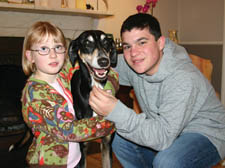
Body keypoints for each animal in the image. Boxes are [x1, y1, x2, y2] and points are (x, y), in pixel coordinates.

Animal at [68, 30, 118, 168]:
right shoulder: (82, 148)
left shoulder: (107, 144)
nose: (104, 61)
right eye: (87, 43)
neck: (96, 86)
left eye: (106, 42)